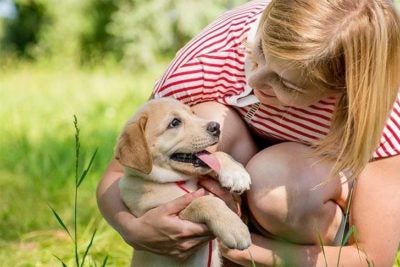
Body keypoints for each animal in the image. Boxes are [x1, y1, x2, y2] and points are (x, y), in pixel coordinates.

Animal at [115, 98, 252, 267]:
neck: (181, 180)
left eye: (193, 113)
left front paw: (236, 173)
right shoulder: (162, 213)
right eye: (174, 123)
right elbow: (204, 201)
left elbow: (217, 154)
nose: (216, 127)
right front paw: (236, 229)